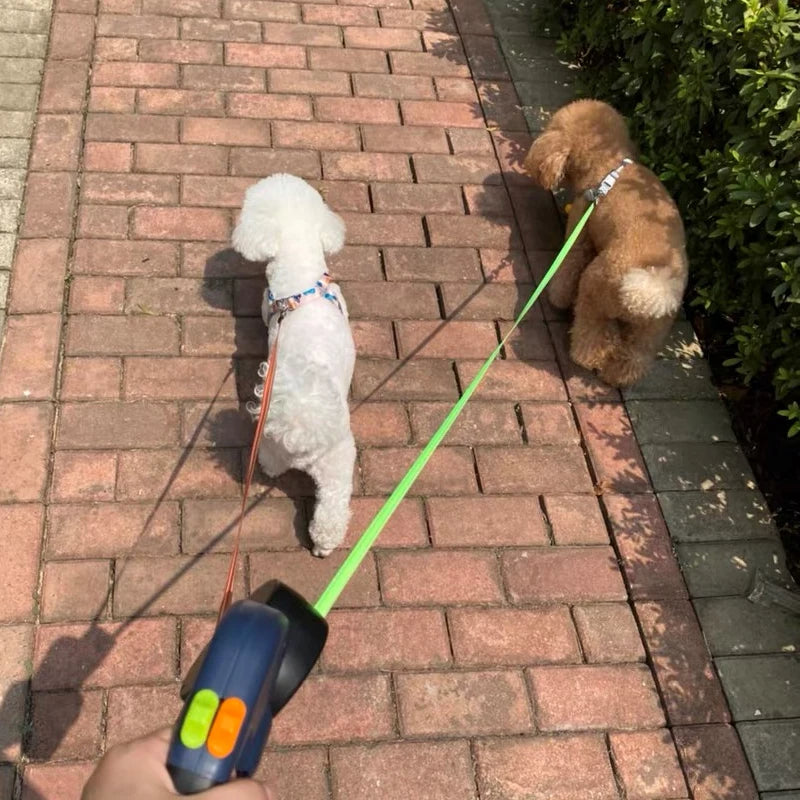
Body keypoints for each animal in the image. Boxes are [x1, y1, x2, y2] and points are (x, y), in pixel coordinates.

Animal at [524, 100, 688, 388]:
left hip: (595, 289)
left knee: (594, 336)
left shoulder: (580, 230)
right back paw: (617, 377)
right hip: (650, 332)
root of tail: (650, 289)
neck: (608, 166)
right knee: (634, 358)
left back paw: (584, 357)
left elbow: (568, 269)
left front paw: (557, 298)